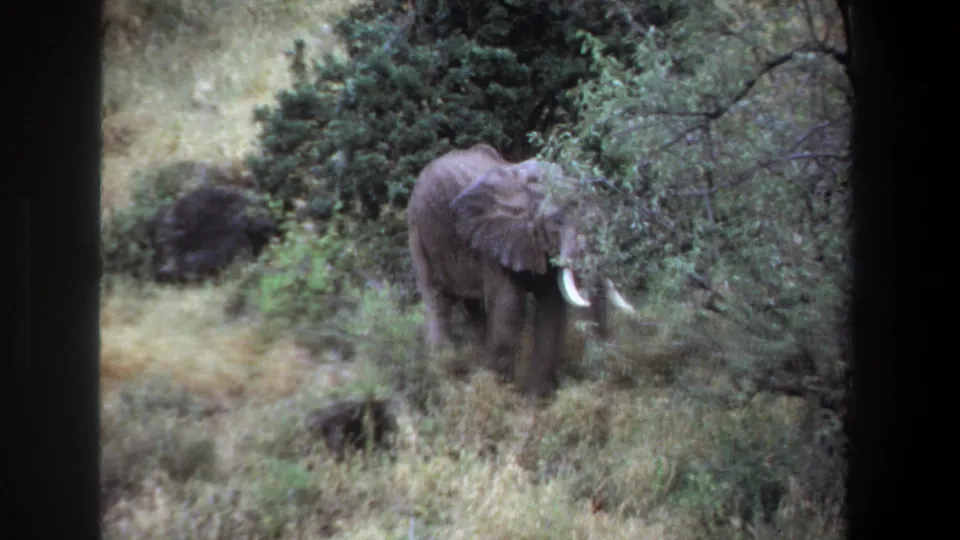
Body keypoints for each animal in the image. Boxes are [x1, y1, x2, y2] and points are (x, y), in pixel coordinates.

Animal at [407, 143, 636, 396]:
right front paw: (501, 394)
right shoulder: (494, 242)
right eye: (557, 222)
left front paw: (535, 398)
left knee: (475, 308)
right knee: (437, 299)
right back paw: (441, 373)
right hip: (419, 230)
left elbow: (551, 310)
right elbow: (509, 308)